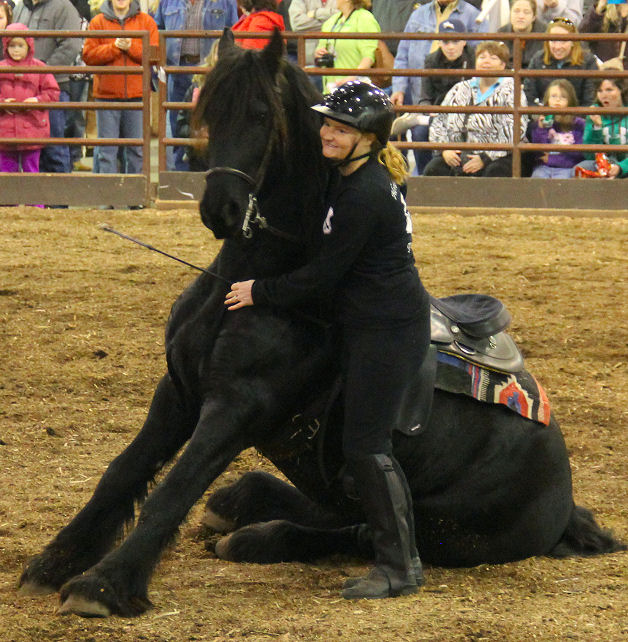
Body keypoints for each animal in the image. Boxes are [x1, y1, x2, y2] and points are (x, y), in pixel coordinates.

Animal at [18, 30, 624, 618]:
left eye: (261, 114)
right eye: (207, 110)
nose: (221, 208)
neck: (255, 277)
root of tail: (565, 498)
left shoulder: (237, 405)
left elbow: (174, 488)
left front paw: (103, 584)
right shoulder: (179, 391)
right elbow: (121, 473)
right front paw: (54, 563)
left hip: (445, 528)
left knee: (370, 533)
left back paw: (258, 536)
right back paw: (237, 506)